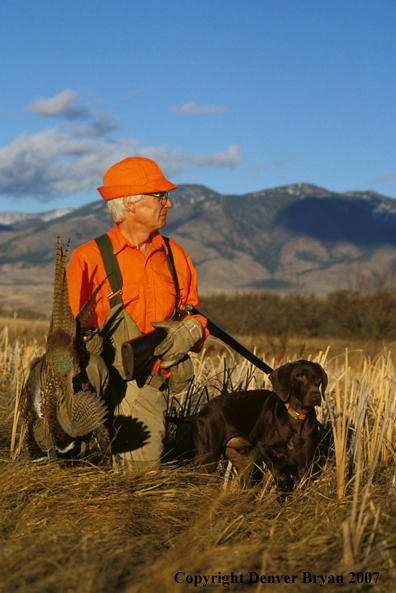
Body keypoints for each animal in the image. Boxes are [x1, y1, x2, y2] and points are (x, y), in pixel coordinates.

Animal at [166, 360, 326, 494]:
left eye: (318, 379)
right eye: (299, 377)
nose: (316, 396)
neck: (296, 416)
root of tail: (200, 413)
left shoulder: (304, 463)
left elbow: (298, 485)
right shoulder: (262, 445)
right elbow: (281, 476)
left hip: (243, 462)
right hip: (207, 459)